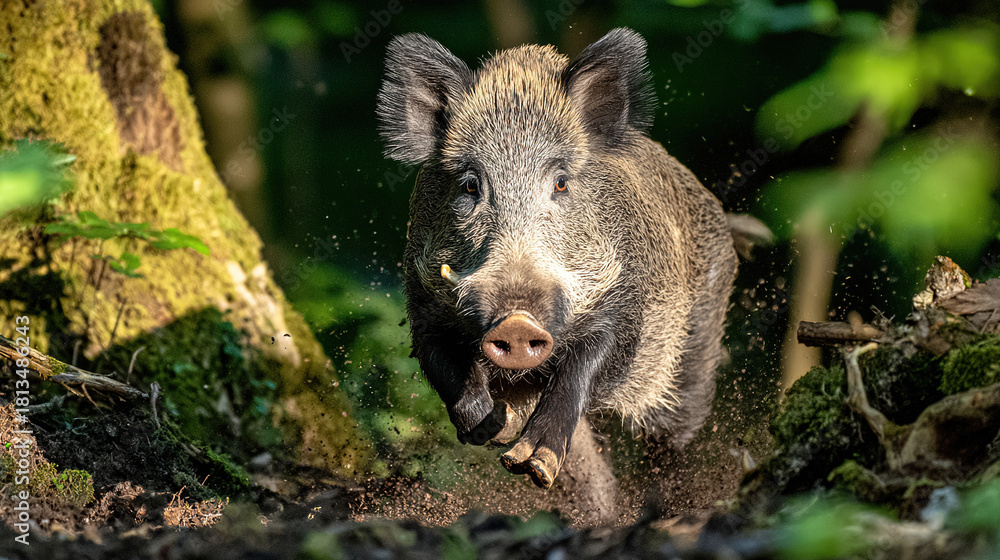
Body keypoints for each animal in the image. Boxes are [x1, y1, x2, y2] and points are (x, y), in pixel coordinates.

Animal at [376, 28, 738, 506]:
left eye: (561, 182)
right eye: (471, 185)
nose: (515, 321)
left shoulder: (626, 307)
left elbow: (581, 372)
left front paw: (528, 457)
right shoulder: (424, 305)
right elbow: (448, 370)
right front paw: (498, 428)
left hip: (695, 349)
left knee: (673, 436)